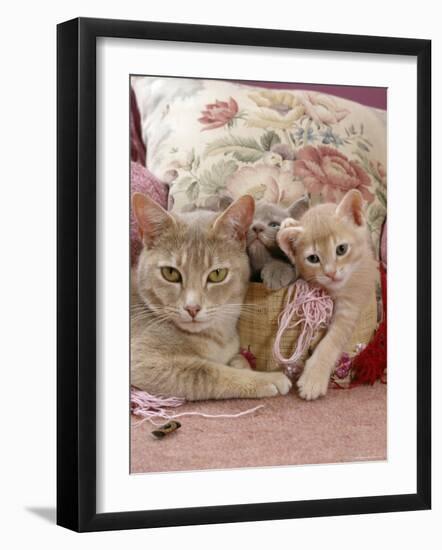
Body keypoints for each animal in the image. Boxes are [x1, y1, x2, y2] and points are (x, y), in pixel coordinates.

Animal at [129, 194, 292, 402]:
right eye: (170, 273)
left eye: (217, 274)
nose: (192, 308)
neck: (217, 335)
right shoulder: (145, 360)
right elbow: (208, 371)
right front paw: (266, 378)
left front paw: (241, 362)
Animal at [276, 192, 376, 404]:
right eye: (313, 258)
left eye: (341, 249)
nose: (330, 273)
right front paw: (288, 224)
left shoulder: (351, 305)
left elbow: (331, 341)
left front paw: (313, 378)